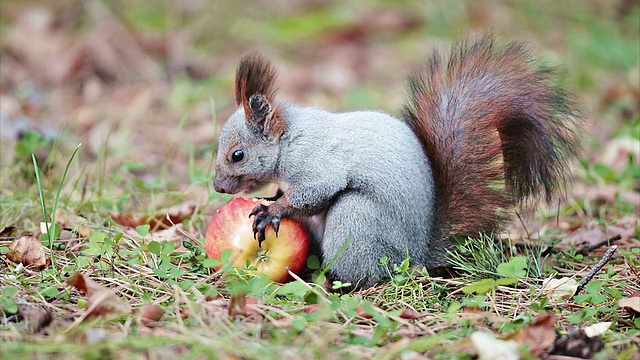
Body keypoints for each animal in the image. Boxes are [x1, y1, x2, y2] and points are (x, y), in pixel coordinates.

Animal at [212, 36, 584, 288]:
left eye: (237, 155)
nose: (217, 187)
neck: (290, 138)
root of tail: (418, 254)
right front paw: (274, 196)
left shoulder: (317, 161)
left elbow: (316, 191)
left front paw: (273, 209)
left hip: (357, 221)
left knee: (367, 273)